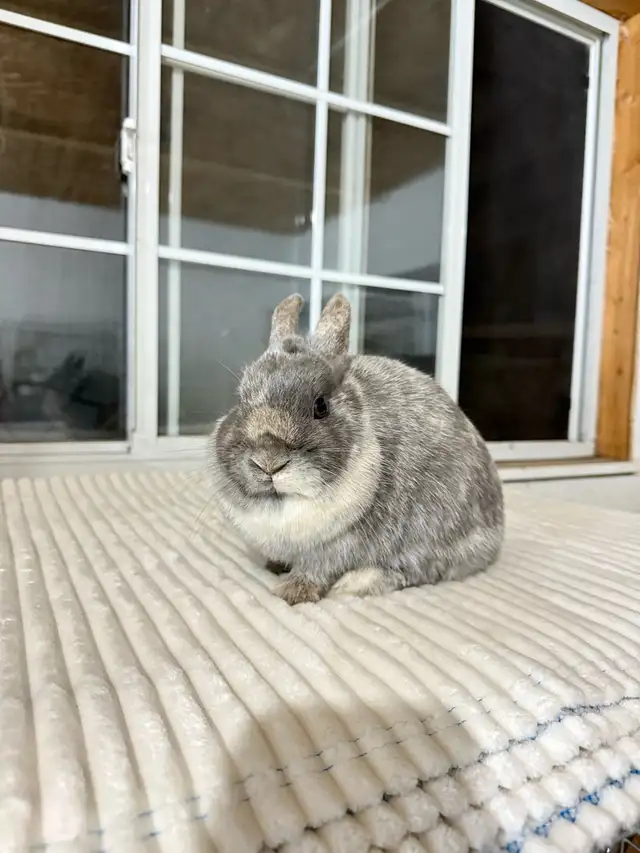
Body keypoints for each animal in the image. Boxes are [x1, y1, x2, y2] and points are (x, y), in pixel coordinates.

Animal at [209, 292, 504, 605]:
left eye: (321, 405)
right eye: (240, 400)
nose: (268, 462)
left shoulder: (336, 548)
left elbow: (315, 571)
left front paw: (292, 592)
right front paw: (274, 566)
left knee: (415, 571)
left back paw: (354, 584)